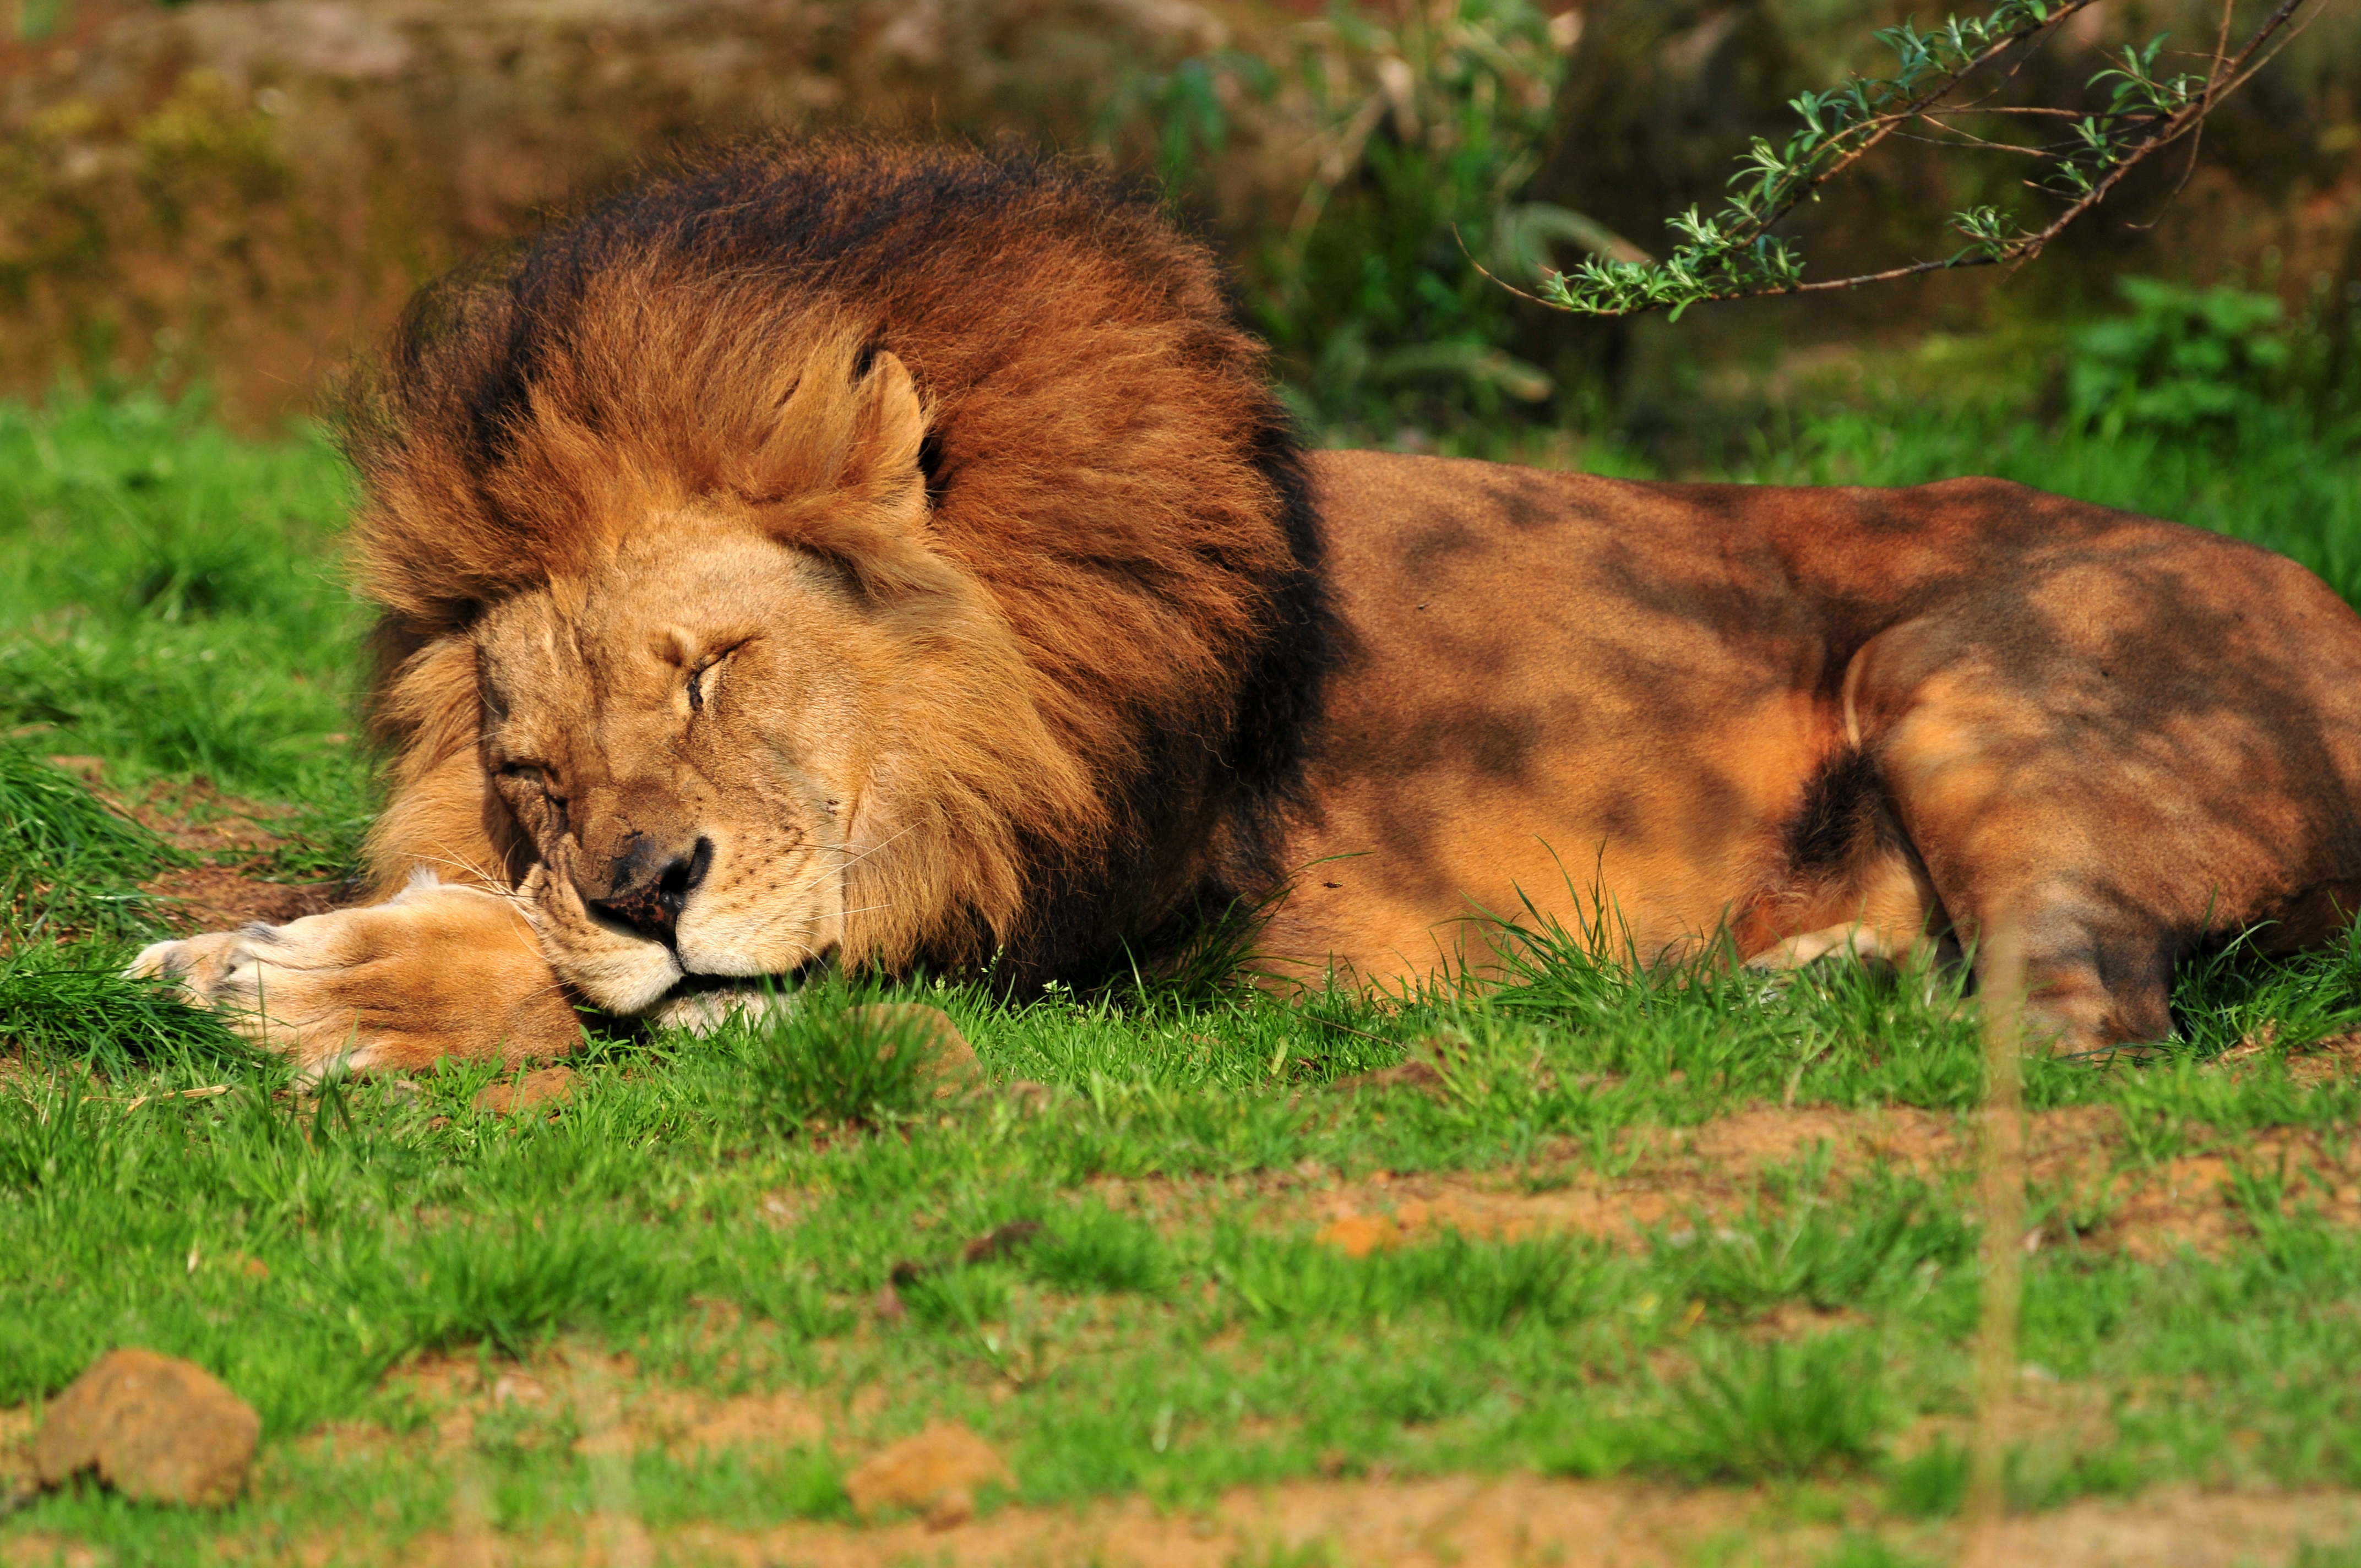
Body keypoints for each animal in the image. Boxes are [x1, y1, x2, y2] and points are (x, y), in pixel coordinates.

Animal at [138, 141, 2361, 1067]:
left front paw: (303, 983)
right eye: (527, 757)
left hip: (1962, 663)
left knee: (2083, 1013)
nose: (643, 879)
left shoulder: (1098, 930)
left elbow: (674, 989)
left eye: (711, 667)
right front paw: (288, 941)